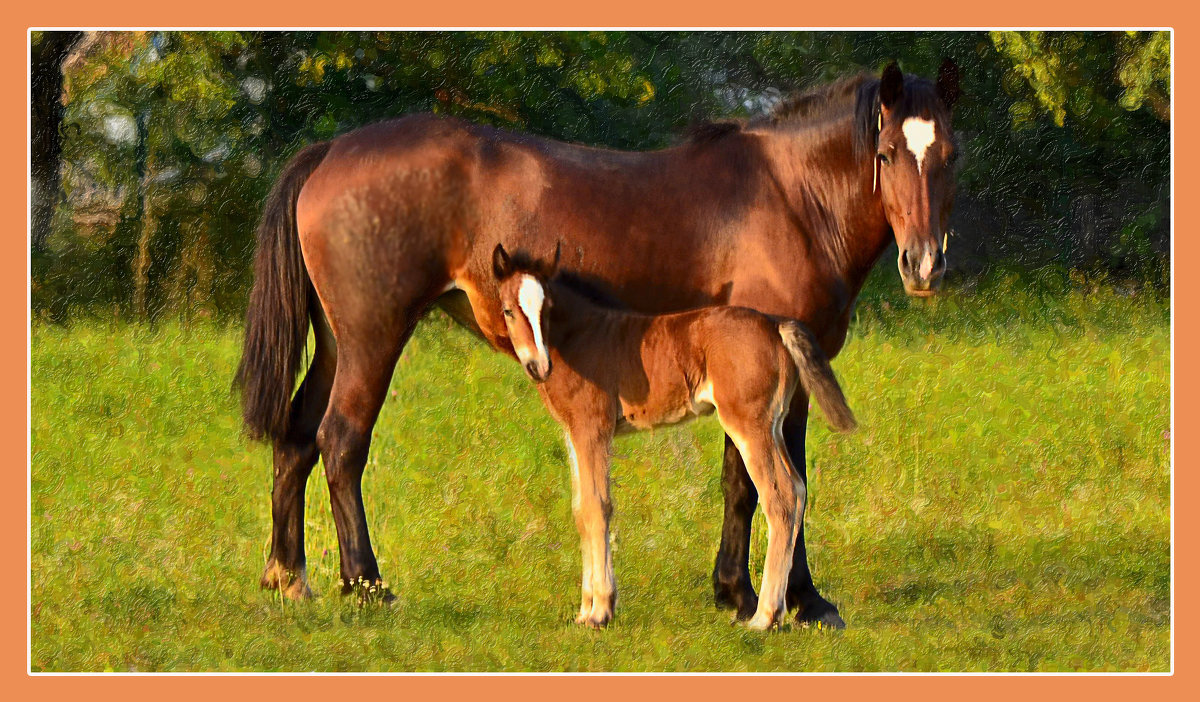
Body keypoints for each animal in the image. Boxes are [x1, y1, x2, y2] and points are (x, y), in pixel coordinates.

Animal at [492, 244, 859, 628]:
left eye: (546, 308)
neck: (578, 337)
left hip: (749, 425)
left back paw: (764, 617)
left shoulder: (593, 429)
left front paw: (600, 611)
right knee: (798, 489)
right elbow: (580, 509)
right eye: (508, 310)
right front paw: (583, 611)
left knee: (780, 496)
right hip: (772, 425)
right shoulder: (573, 434)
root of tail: (775, 325)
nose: (538, 366)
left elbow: (597, 507)